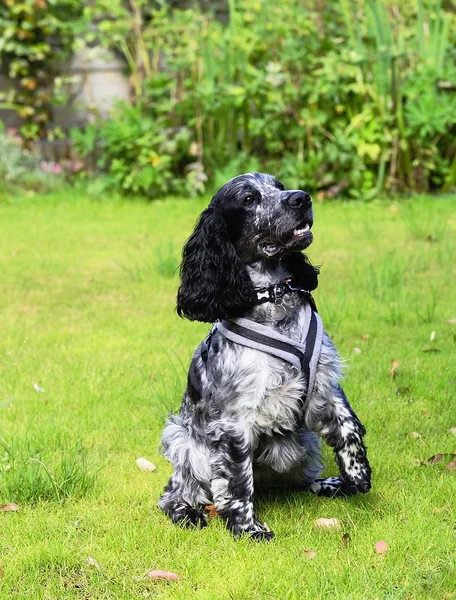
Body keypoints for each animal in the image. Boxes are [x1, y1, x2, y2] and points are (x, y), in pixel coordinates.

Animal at [159, 172, 372, 540]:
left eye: (280, 186)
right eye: (248, 199)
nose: (302, 198)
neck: (274, 296)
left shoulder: (325, 382)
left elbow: (348, 426)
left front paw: (356, 474)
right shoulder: (235, 419)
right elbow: (237, 480)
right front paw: (248, 528)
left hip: (303, 444)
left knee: (301, 482)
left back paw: (329, 484)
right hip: (182, 441)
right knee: (174, 491)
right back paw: (187, 513)